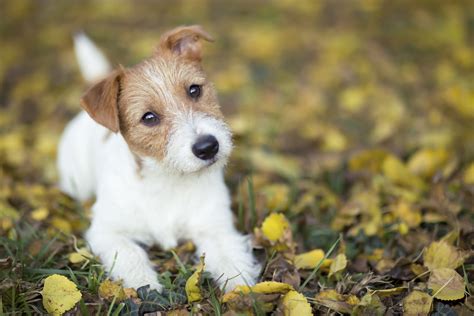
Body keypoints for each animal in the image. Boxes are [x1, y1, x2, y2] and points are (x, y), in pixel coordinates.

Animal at [58, 25, 262, 292]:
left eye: (194, 90)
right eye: (149, 117)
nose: (208, 147)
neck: (169, 179)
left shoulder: (215, 227)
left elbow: (230, 260)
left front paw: (241, 290)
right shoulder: (107, 231)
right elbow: (130, 254)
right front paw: (145, 284)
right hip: (77, 183)